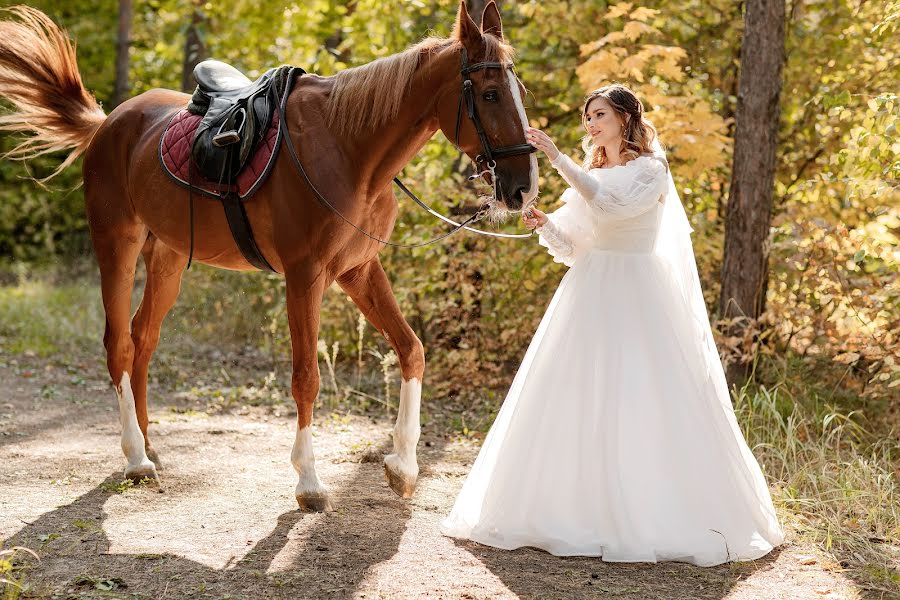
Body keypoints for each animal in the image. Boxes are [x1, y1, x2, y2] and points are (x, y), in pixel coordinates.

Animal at [0, 2, 536, 512]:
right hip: (117, 243)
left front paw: (403, 467)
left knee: (143, 338)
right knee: (119, 344)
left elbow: (412, 350)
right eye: (490, 94)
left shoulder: (359, 270)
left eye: (519, 91)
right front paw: (309, 483)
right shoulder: (305, 276)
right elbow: (306, 378)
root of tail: (109, 122)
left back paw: (149, 446)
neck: (349, 150)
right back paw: (135, 458)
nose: (523, 188)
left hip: (168, 258)